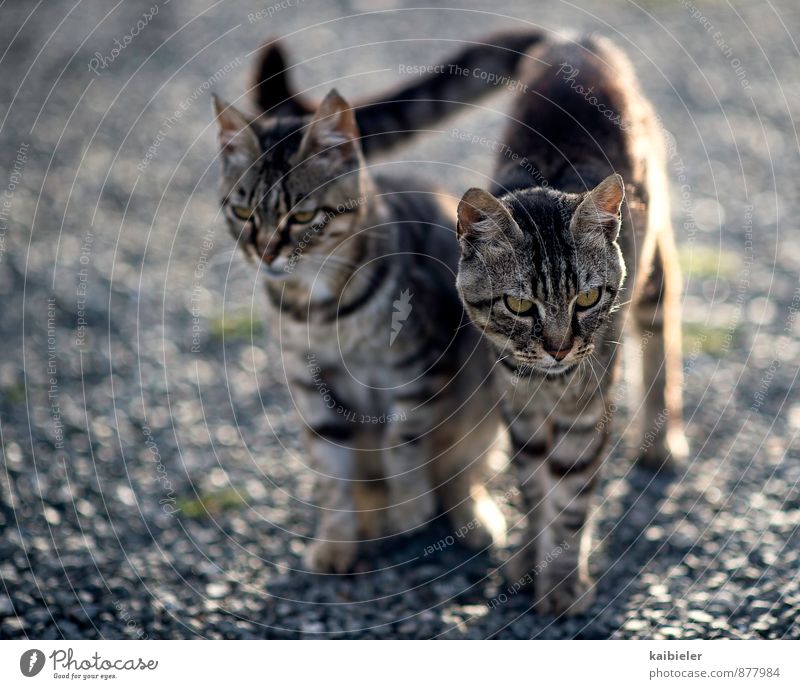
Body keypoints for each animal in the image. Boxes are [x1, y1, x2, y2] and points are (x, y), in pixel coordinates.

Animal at [211, 30, 544, 568]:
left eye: (301, 217)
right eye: (242, 212)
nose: (264, 252)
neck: (321, 306)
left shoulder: (423, 366)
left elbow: (402, 440)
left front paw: (408, 504)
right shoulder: (313, 387)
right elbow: (334, 469)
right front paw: (337, 538)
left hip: (485, 397)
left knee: (462, 466)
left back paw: (468, 518)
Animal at [454, 33, 692, 612]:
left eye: (587, 298)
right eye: (519, 306)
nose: (560, 348)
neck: (546, 382)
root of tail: (573, 37)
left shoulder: (586, 411)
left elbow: (570, 499)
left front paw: (561, 584)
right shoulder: (518, 410)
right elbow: (533, 489)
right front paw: (525, 561)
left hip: (654, 266)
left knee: (662, 332)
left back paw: (661, 443)